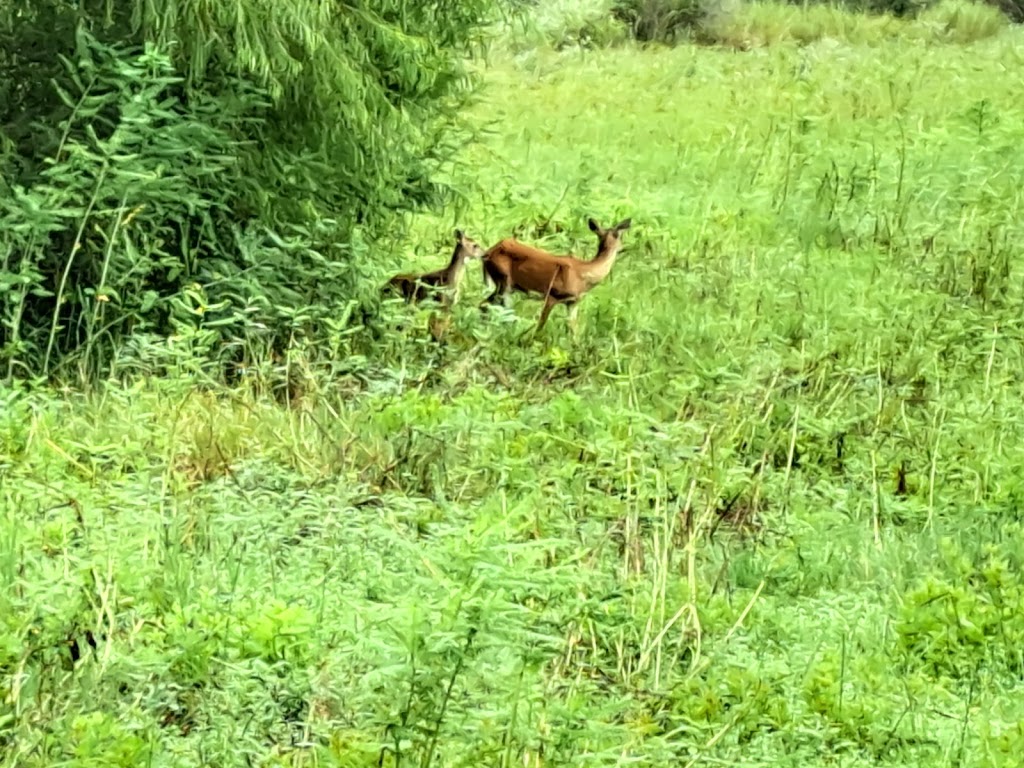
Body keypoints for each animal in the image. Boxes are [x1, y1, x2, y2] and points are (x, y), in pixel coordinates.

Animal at [479, 218, 630, 335]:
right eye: (620, 236)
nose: (623, 248)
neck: (584, 274)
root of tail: (488, 252)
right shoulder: (552, 295)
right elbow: (540, 326)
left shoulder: (573, 302)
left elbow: (573, 331)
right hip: (503, 280)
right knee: (487, 305)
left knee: (488, 306)